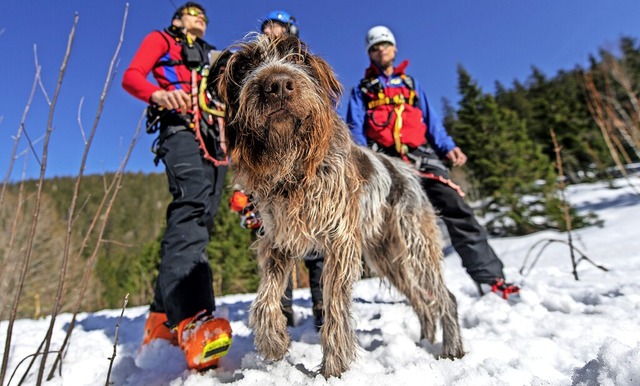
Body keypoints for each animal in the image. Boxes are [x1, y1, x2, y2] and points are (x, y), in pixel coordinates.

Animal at [220, 34, 464, 378]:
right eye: (245, 65)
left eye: (298, 58)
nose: (277, 85)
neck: (294, 166)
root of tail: (407, 172)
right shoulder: (279, 241)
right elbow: (265, 297)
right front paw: (274, 342)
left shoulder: (340, 241)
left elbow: (334, 306)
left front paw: (333, 369)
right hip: (389, 260)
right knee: (422, 301)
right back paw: (424, 343)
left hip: (416, 248)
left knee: (446, 298)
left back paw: (452, 350)